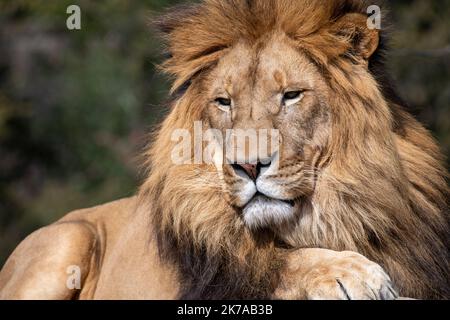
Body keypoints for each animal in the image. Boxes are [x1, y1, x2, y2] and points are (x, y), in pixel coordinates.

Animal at [0, 0, 450, 300]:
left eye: (291, 95)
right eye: (223, 102)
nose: (248, 166)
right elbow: (272, 263)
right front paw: (352, 273)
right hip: (69, 238)